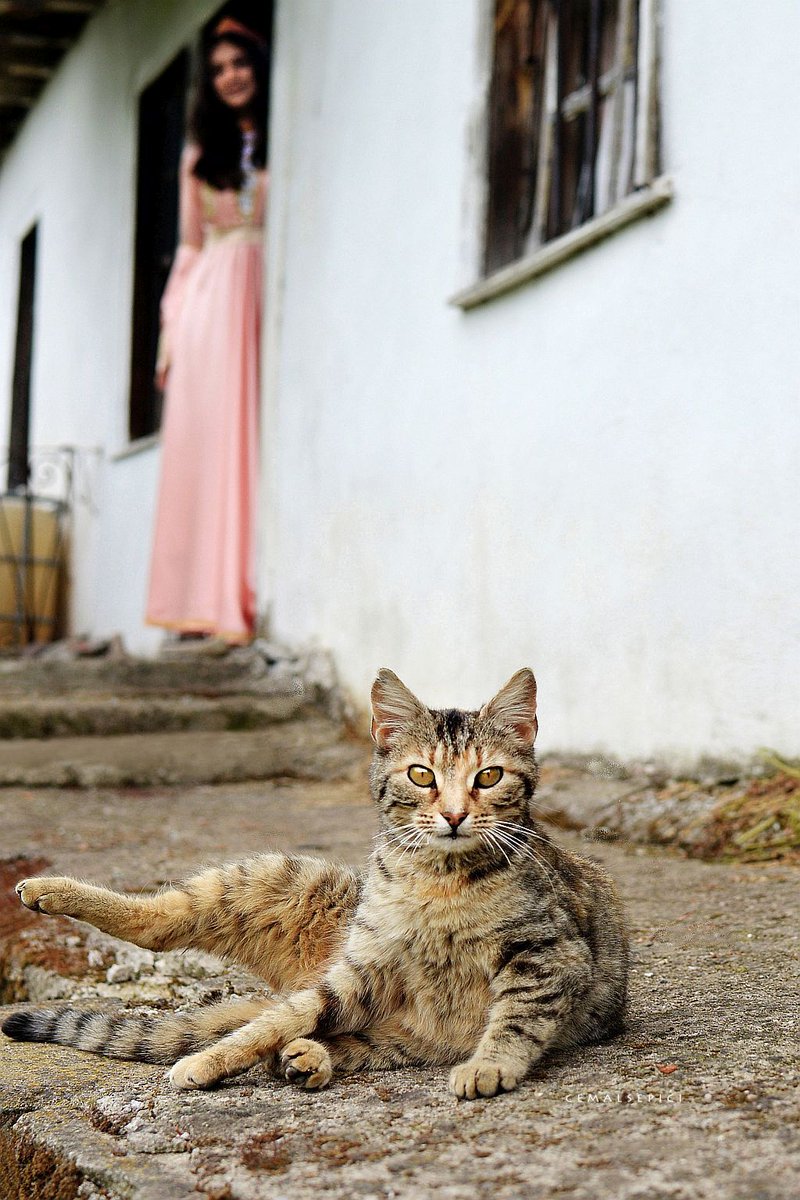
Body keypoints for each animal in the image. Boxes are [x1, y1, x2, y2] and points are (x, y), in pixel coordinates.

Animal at [1, 672, 623, 1099]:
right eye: (421, 775)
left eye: (488, 776)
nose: (452, 815)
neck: (437, 881)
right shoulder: (361, 970)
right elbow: (275, 1022)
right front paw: (210, 1061)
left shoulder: (549, 953)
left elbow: (516, 1019)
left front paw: (488, 1064)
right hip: (279, 882)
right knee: (167, 928)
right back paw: (50, 891)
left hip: (399, 1033)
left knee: (323, 1035)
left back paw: (306, 1059)